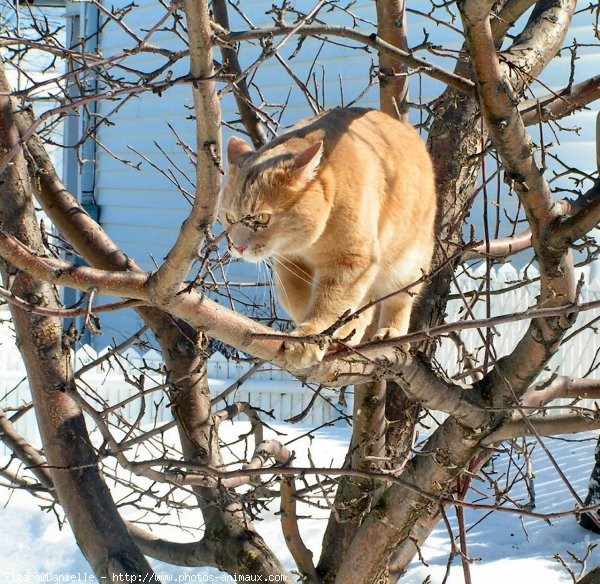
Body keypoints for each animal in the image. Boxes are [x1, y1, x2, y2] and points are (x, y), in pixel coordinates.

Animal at [220, 107, 436, 368]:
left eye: (261, 218)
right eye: (229, 217)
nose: (237, 246)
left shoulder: (351, 260)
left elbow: (330, 301)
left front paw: (309, 337)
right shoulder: (289, 261)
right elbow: (295, 298)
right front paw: (318, 329)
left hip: (406, 262)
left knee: (399, 299)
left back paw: (390, 333)